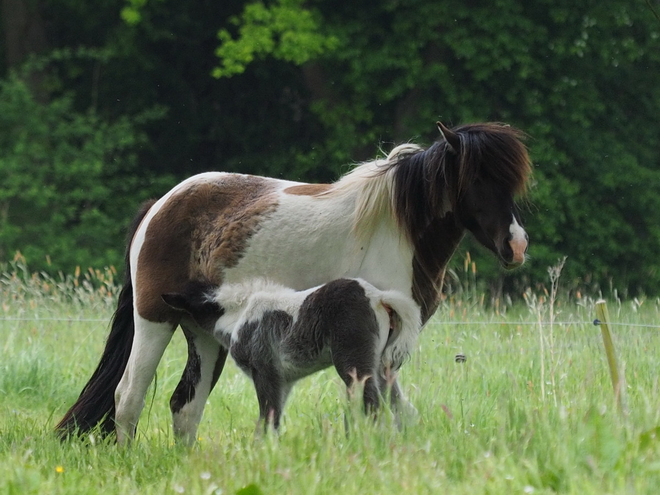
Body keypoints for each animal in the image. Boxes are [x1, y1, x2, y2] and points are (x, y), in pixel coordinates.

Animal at [56, 121, 532, 446]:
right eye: (477, 179)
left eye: (511, 183)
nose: (517, 245)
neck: (396, 229)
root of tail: (161, 204)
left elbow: (397, 411)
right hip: (154, 319)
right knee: (129, 396)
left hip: (202, 333)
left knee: (185, 406)